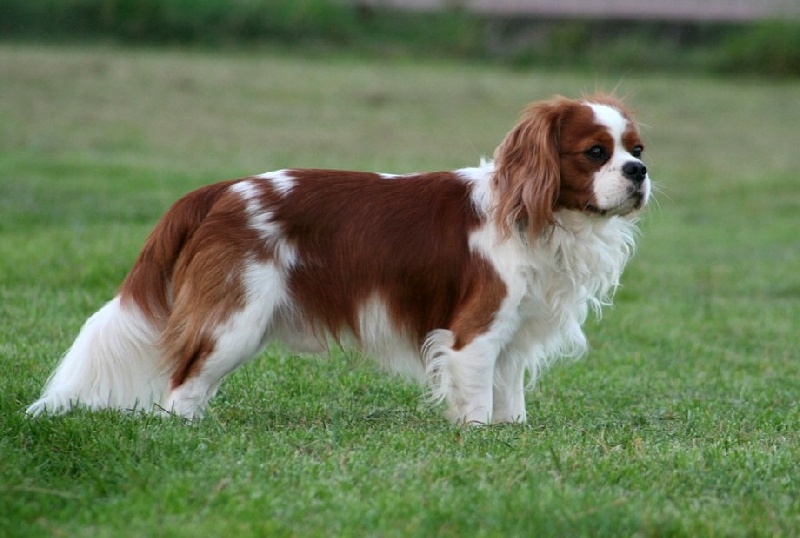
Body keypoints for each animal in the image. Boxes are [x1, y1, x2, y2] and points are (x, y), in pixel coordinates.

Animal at [26, 93, 648, 422]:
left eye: (638, 149)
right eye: (596, 153)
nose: (639, 172)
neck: (539, 218)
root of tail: (220, 191)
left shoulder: (513, 338)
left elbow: (509, 401)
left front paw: (510, 437)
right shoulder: (473, 334)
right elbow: (474, 402)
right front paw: (479, 441)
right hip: (234, 321)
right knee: (181, 387)